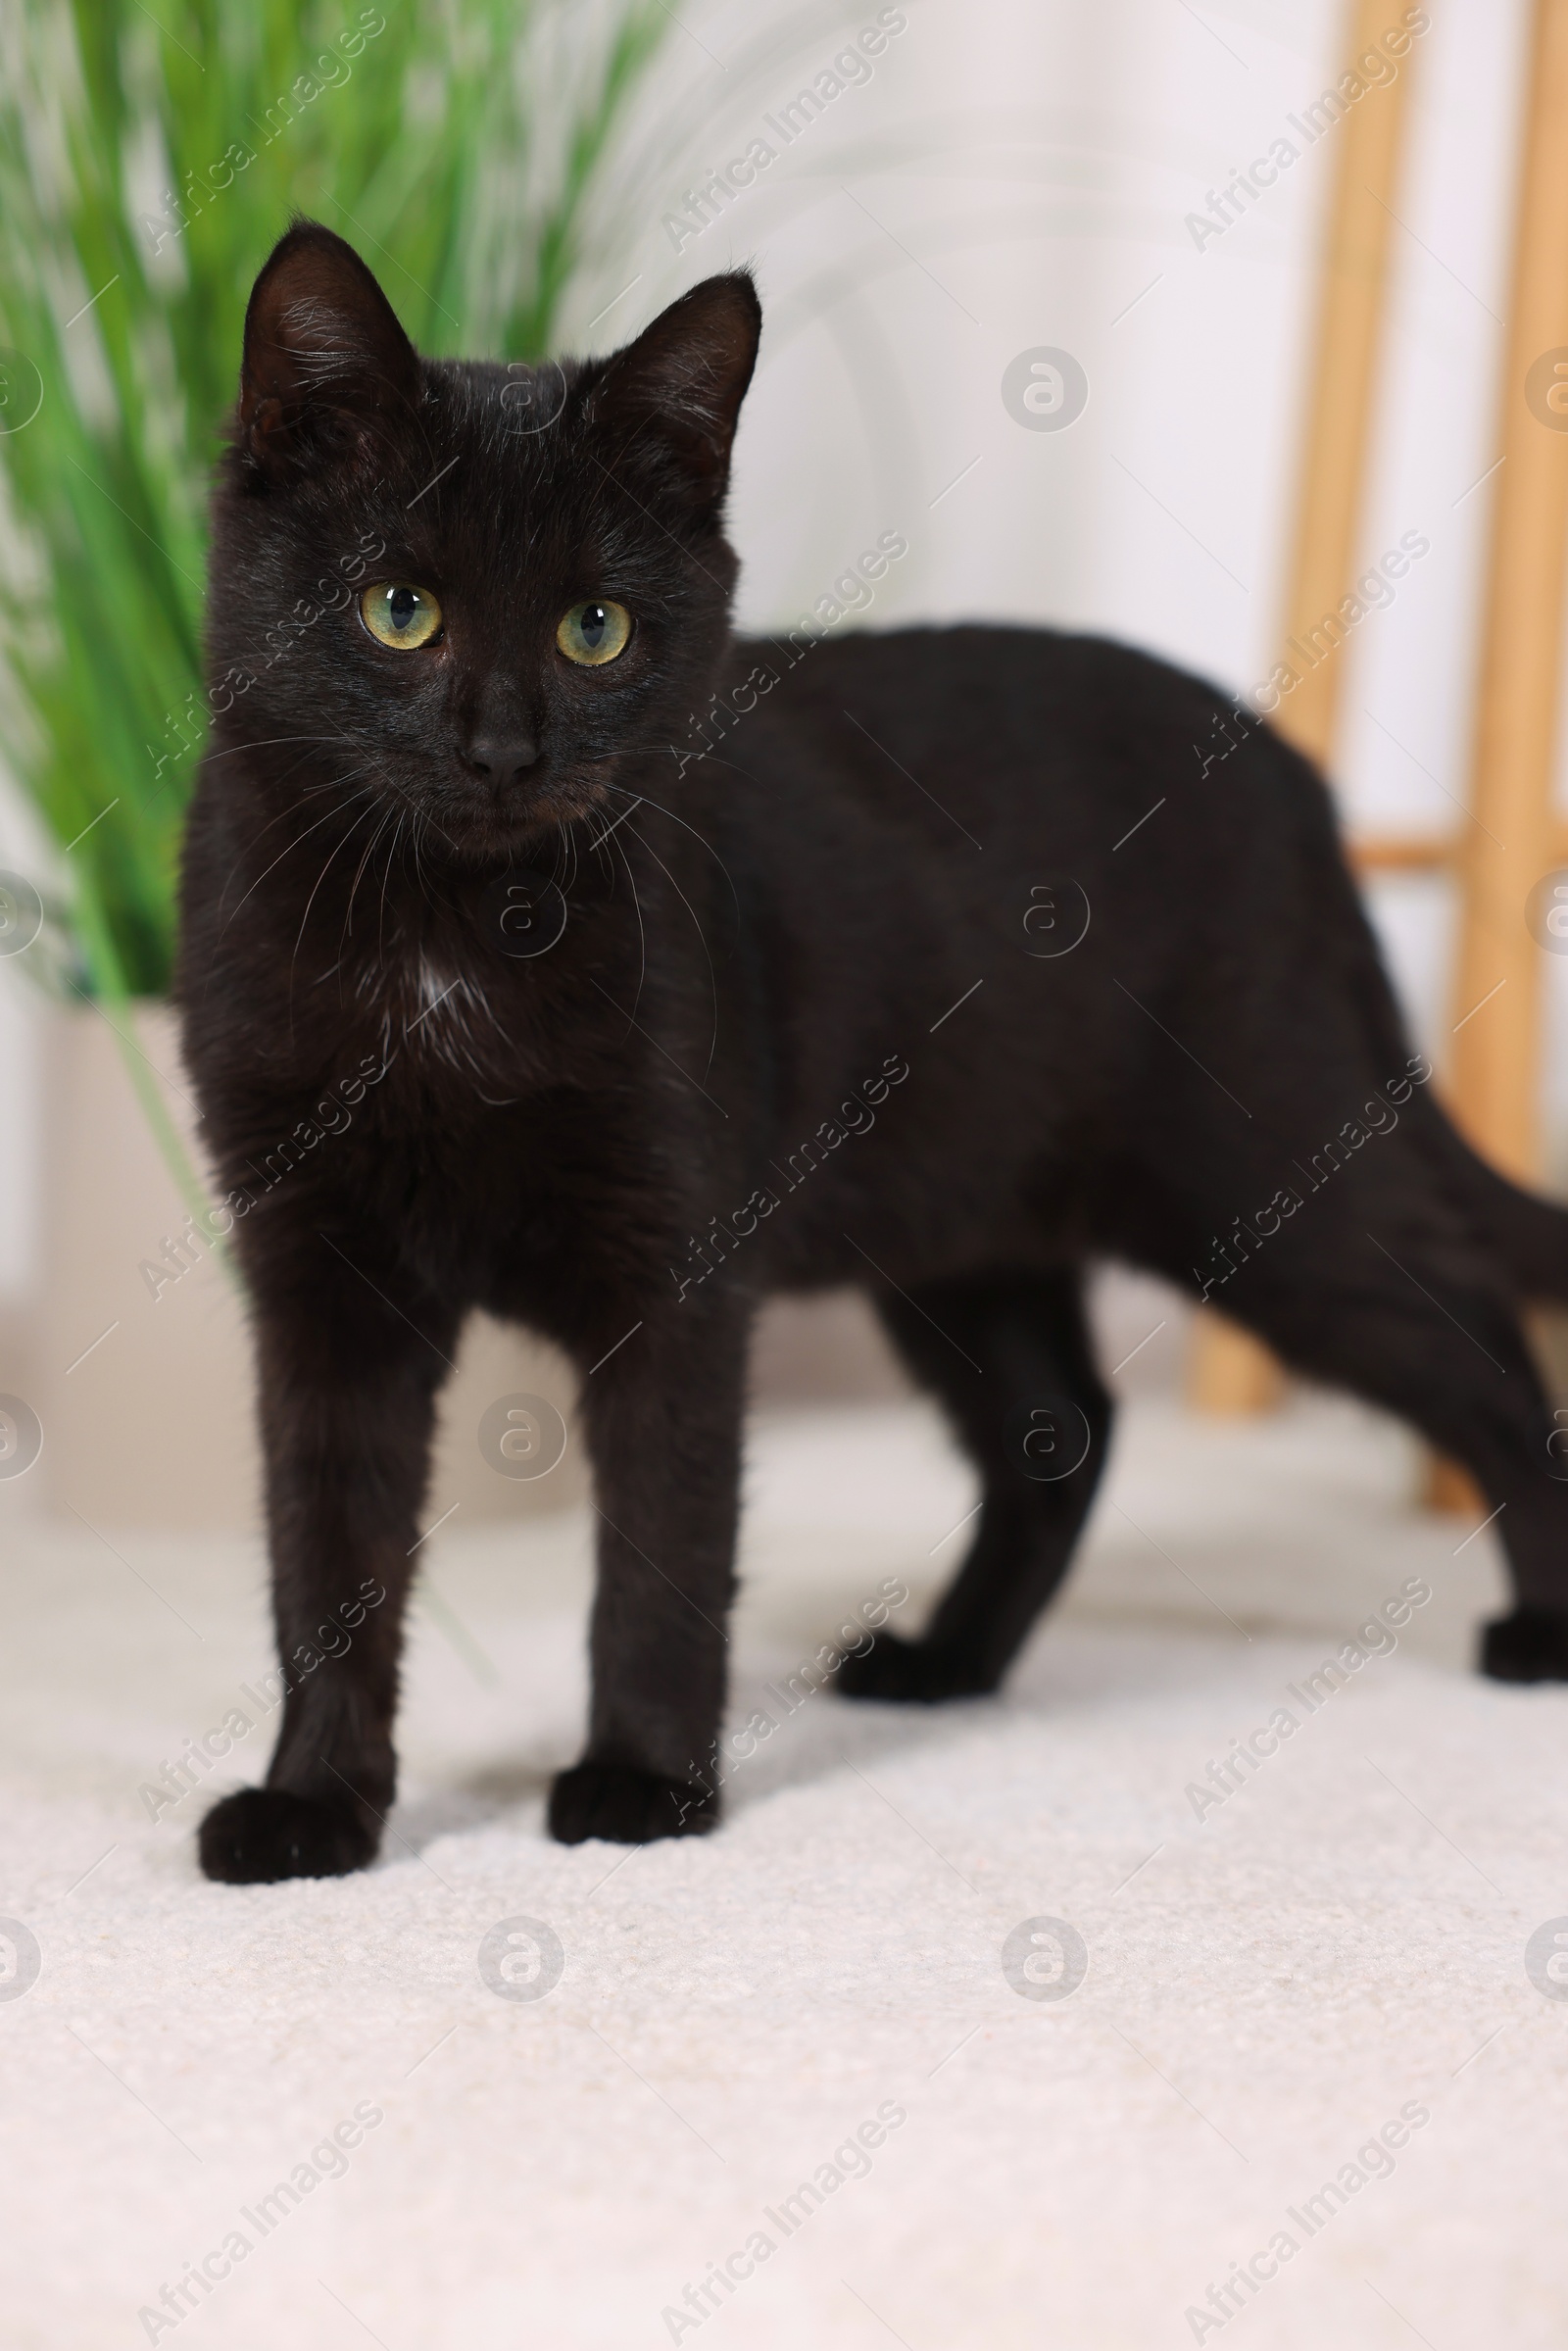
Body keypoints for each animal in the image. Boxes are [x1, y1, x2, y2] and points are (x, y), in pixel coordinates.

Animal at [177, 224, 1568, 1889]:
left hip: (1260, 1175)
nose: (505, 751)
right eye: (400, 609)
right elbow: (326, 1554)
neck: (452, 933)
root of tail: (1299, 780)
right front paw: (316, 1807)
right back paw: (945, 1664)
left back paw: (1547, 1628)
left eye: (597, 629)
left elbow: (660, 1548)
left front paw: (642, 1785)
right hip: (966, 1218)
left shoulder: (675, 1265)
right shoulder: (319, 1276)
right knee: (1064, 1431)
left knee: (1476, 1337)